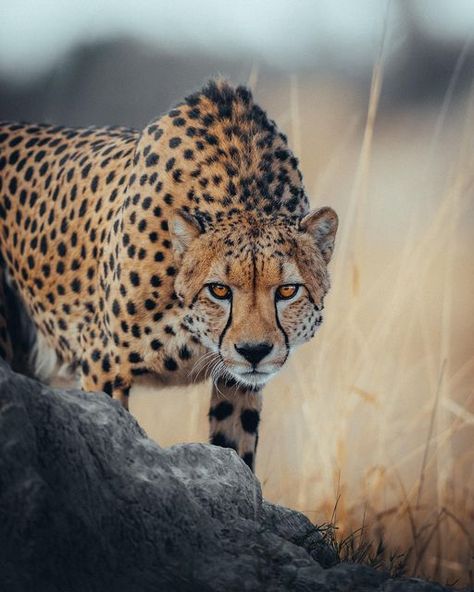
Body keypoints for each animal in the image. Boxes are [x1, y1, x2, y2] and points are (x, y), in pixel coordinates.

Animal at [0, 81, 340, 472]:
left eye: (287, 291)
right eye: (219, 290)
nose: (253, 351)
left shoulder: (239, 383)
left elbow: (237, 451)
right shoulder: (103, 363)